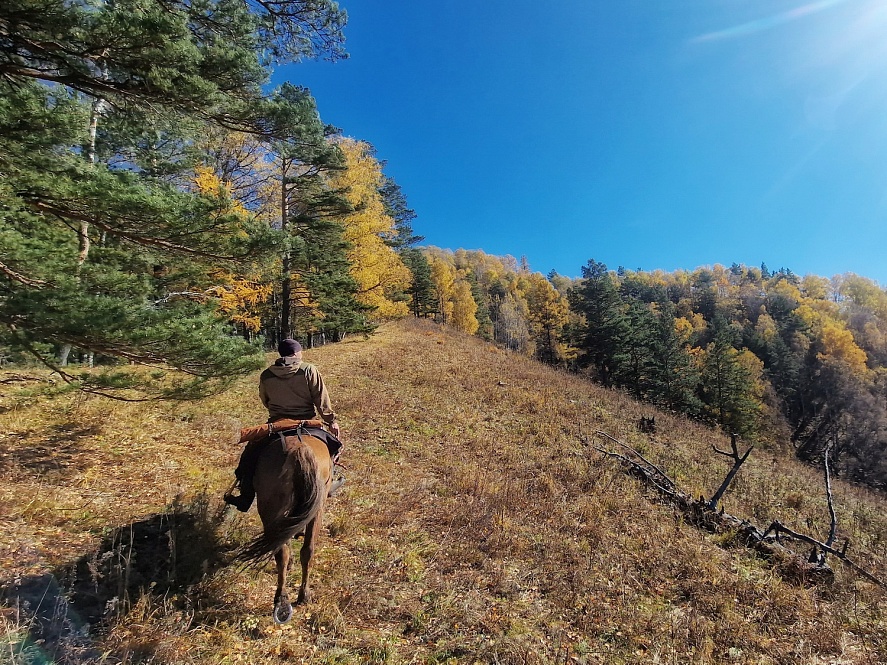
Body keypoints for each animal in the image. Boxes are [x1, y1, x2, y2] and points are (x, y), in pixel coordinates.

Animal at [236, 428, 332, 620]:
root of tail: (300, 451)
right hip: (317, 508)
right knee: (307, 550)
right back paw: (303, 596)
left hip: (272, 509)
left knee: (281, 551)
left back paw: (281, 597)